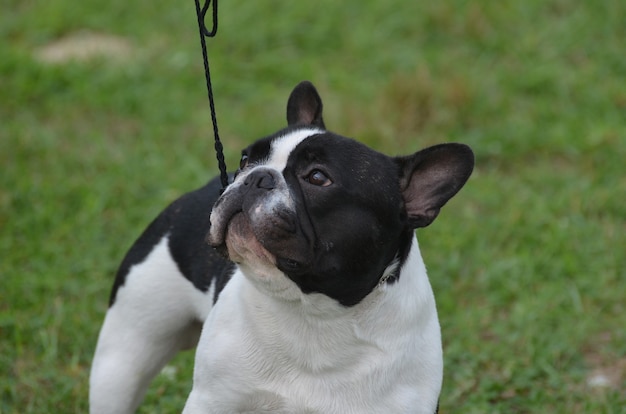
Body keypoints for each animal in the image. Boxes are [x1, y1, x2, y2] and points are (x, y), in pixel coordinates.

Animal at [89, 81, 472, 414]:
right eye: (245, 159)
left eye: (318, 177)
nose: (257, 177)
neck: (314, 312)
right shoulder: (213, 401)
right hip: (125, 355)